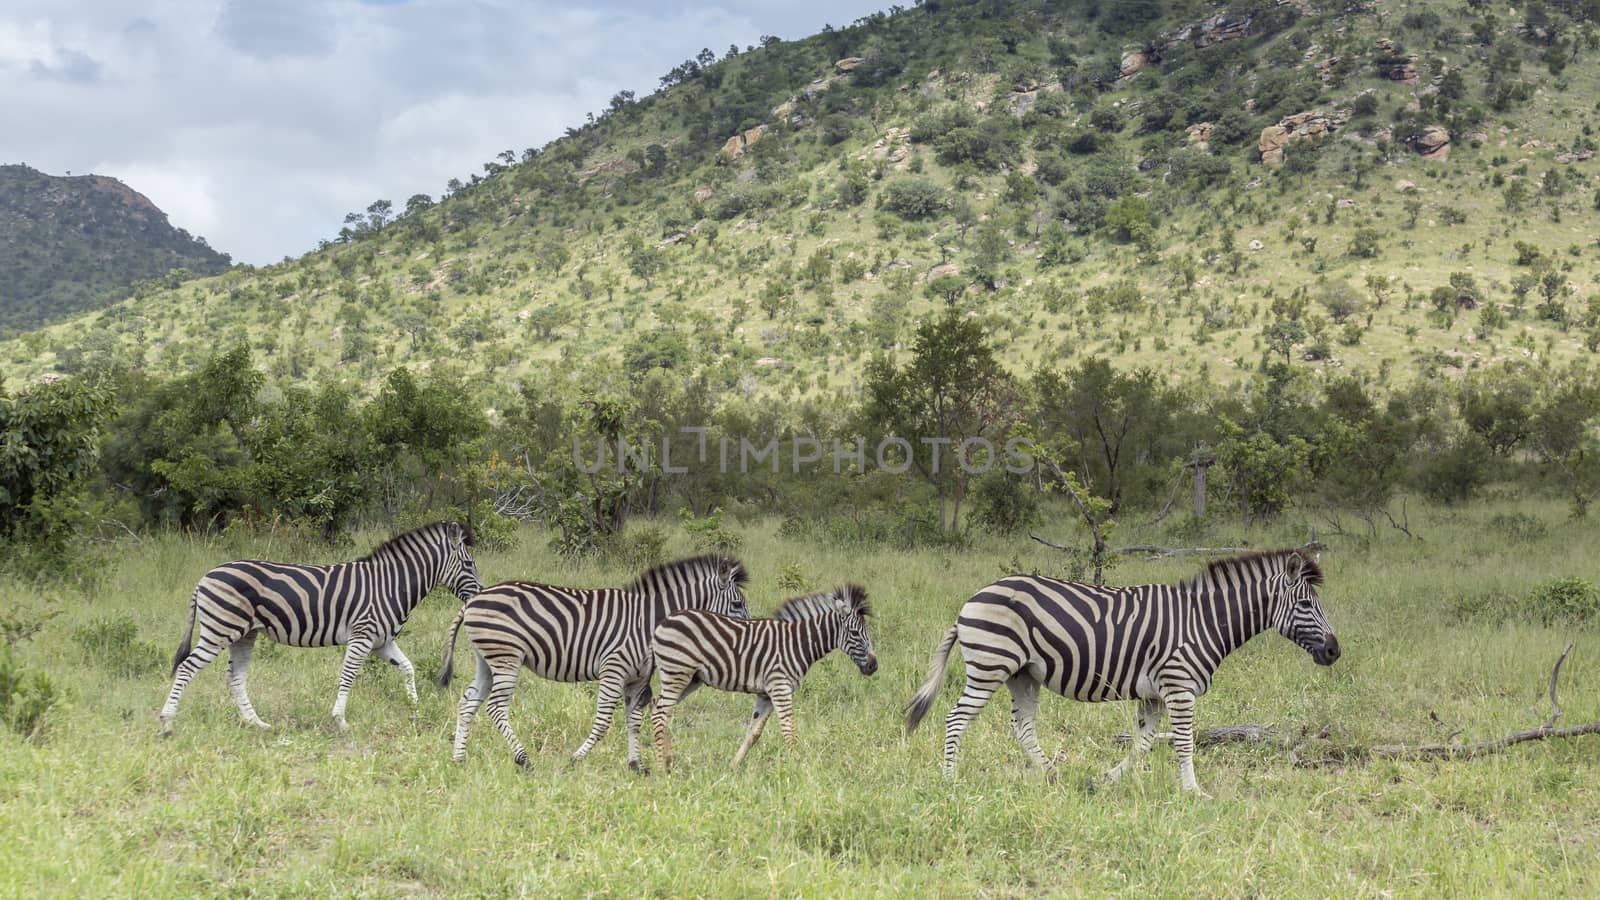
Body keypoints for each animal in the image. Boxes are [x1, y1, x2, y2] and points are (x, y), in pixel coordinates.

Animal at [156, 515, 483, 733]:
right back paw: (167, 722)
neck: (390, 585)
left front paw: (415, 709)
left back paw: (257, 723)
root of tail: (205, 577)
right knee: (187, 668)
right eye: (469, 564)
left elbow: (408, 668)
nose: (480, 593)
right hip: (219, 630)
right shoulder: (362, 636)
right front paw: (341, 720)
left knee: (235, 679)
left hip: (243, 635)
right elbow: (348, 677)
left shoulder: (382, 642)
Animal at [441, 550, 752, 768]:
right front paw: (575, 759)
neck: (648, 622)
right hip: (506, 656)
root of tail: (473, 601)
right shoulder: (614, 669)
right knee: (495, 707)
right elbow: (603, 722)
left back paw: (459, 759)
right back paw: (523, 759)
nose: (747, 630)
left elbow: (634, 720)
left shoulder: (637, 678)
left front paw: (636, 765)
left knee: (468, 702)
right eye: (737, 604)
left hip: (487, 659)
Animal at [646, 582, 876, 771]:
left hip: (690, 678)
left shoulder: (766, 693)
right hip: (677, 673)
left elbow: (754, 732)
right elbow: (789, 729)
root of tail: (665, 621)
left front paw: (733, 766)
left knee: (658, 707)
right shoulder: (780, 687)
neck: (798, 643)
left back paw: (668, 759)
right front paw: (797, 768)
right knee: (660, 712)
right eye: (855, 633)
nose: (874, 666)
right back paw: (660, 767)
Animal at [908, 547, 1344, 791]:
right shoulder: (1178, 686)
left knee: (1023, 727)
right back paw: (950, 782)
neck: (1203, 620)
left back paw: (1052, 775)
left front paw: (1104, 781)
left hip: (1024, 674)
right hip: (990, 666)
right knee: (956, 719)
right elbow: (1183, 743)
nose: (1335, 651)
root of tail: (972, 599)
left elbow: (1143, 744)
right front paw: (1193, 792)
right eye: (1305, 604)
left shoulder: (1154, 695)